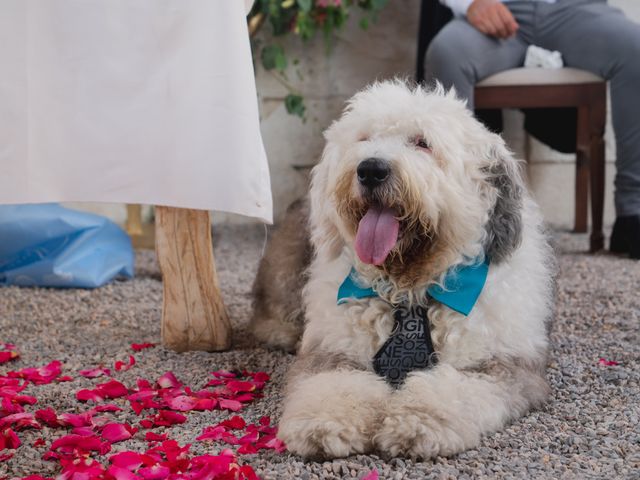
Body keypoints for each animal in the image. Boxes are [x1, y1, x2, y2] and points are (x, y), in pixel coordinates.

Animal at [250, 80, 556, 460]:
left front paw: (417, 423)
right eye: (364, 137)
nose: (371, 169)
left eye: (422, 142)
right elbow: (333, 384)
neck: (410, 289)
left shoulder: (497, 366)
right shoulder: (335, 352)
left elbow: (454, 389)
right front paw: (324, 424)